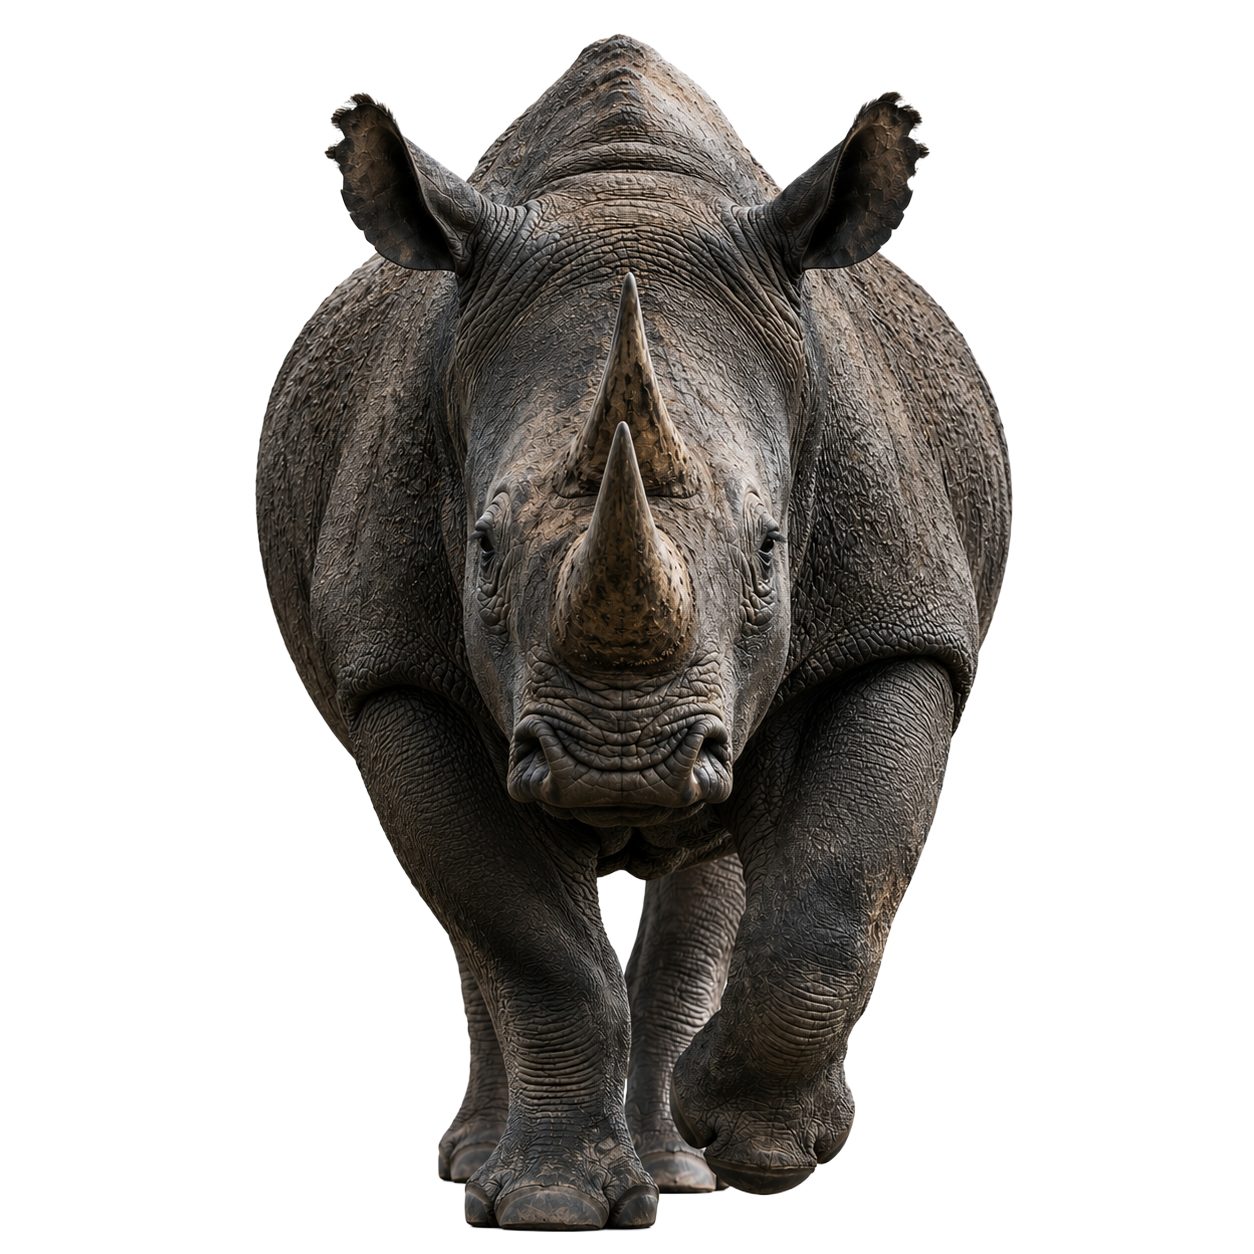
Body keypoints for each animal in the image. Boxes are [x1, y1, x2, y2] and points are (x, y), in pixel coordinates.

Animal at [257, 35, 1010, 1231]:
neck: (626, 198)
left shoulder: (897, 629)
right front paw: (549, 1208)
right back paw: (486, 1165)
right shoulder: (396, 673)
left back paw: (687, 1166)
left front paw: (763, 1149)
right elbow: (527, 940)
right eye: (480, 551)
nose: (621, 764)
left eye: (768, 553)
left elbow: (837, 894)